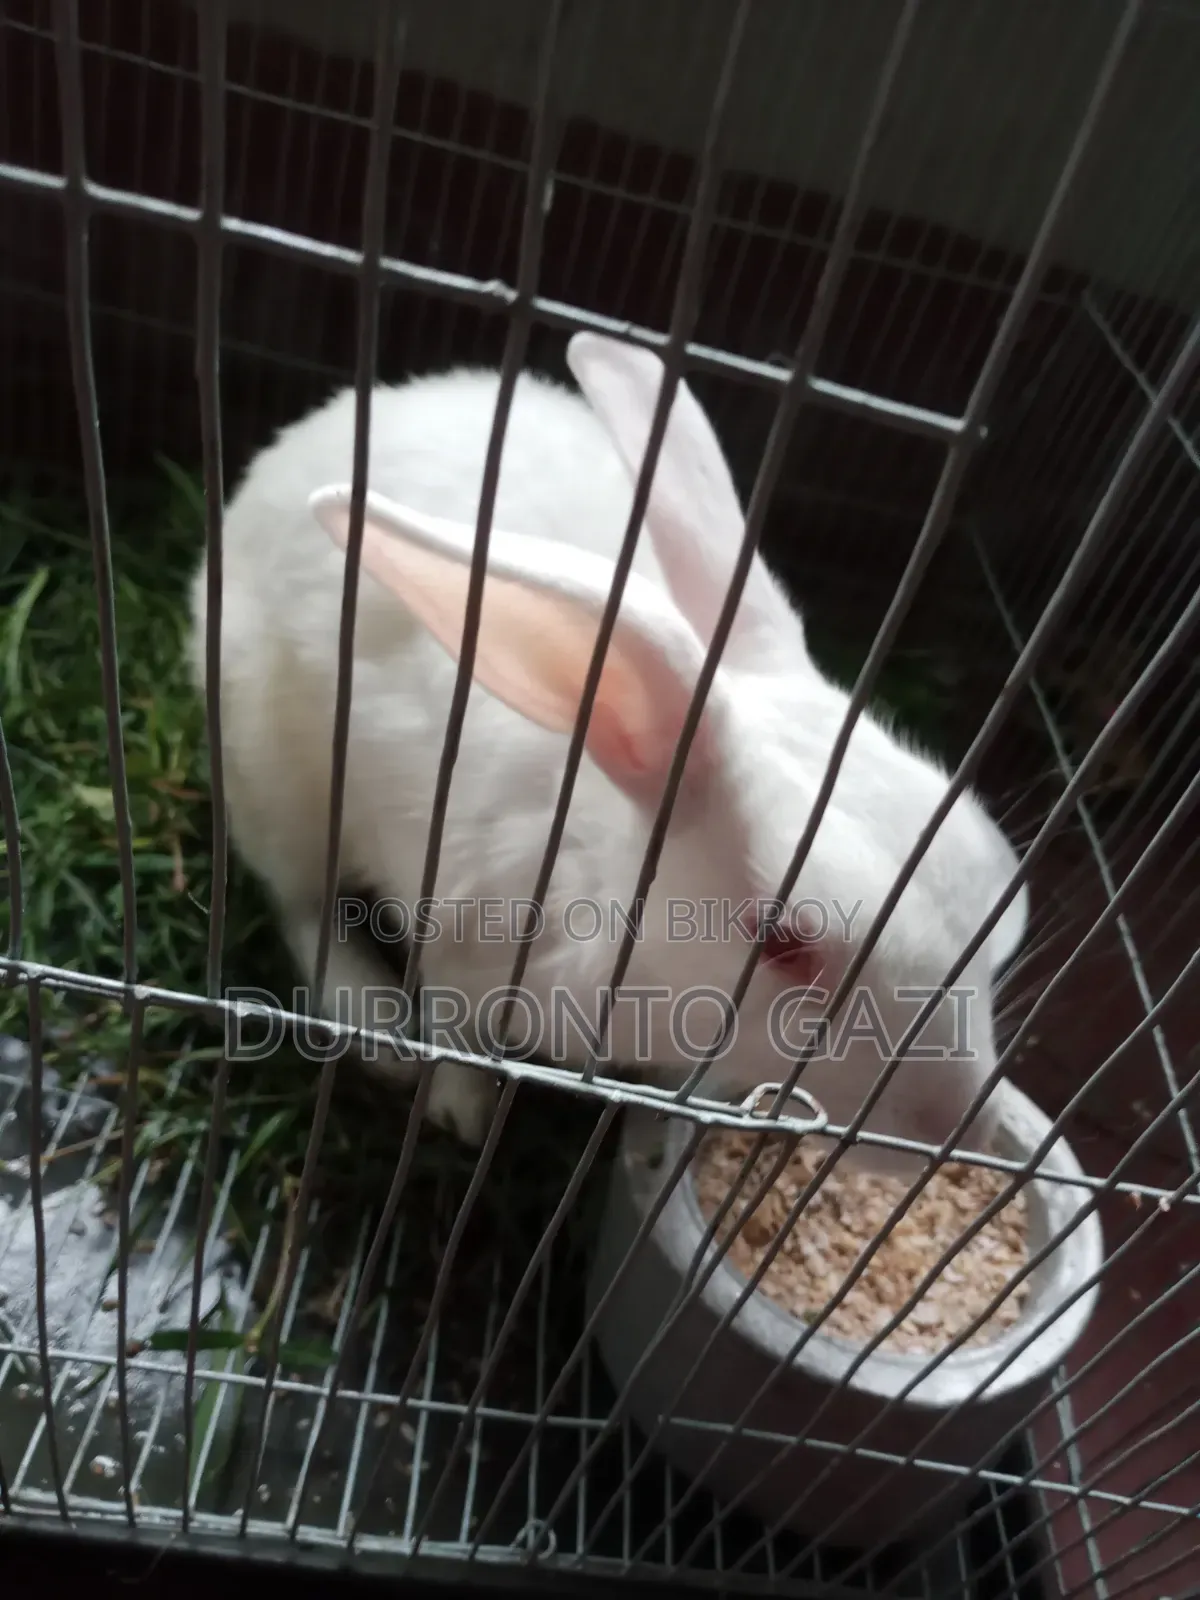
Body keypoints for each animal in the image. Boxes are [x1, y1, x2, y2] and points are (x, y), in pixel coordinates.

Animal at [187, 331, 1029, 1175]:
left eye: (1002, 886)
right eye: (784, 945)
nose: (961, 1134)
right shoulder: (455, 932)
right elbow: (453, 1029)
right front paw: (463, 1109)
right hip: (269, 770)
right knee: (302, 902)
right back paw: (377, 1024)